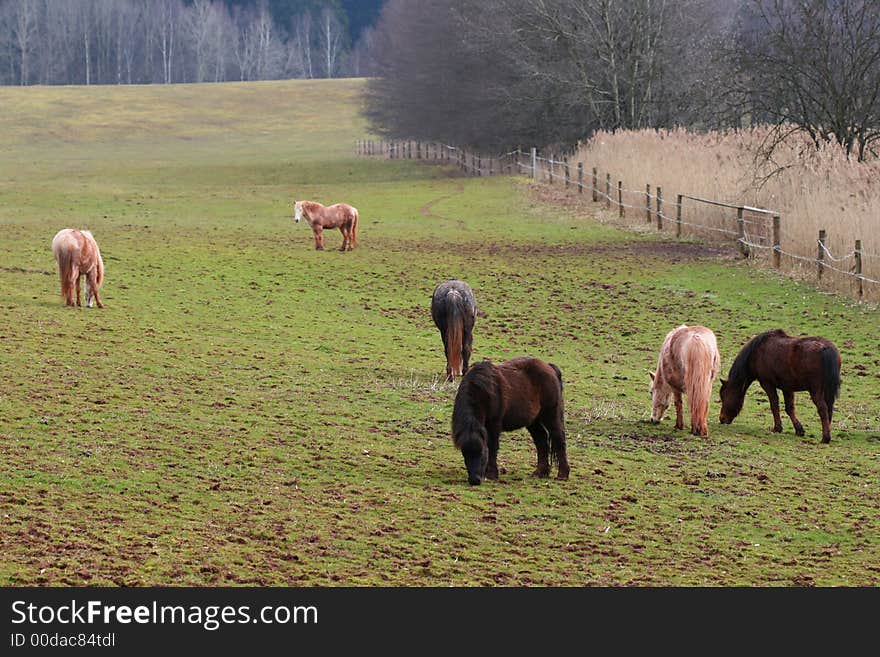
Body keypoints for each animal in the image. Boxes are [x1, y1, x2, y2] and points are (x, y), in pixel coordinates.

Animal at [450, 356, 568, 484]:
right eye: (464, 454)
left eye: (481, 452)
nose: (475, 480)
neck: (483, 391)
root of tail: (550, 367)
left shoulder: (494, 425)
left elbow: (492, 446)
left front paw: (491, 474)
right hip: (533, 422)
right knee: (541, 441)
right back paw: (540, 472)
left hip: (551, 416)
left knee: (559, 439)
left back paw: (563, 475)